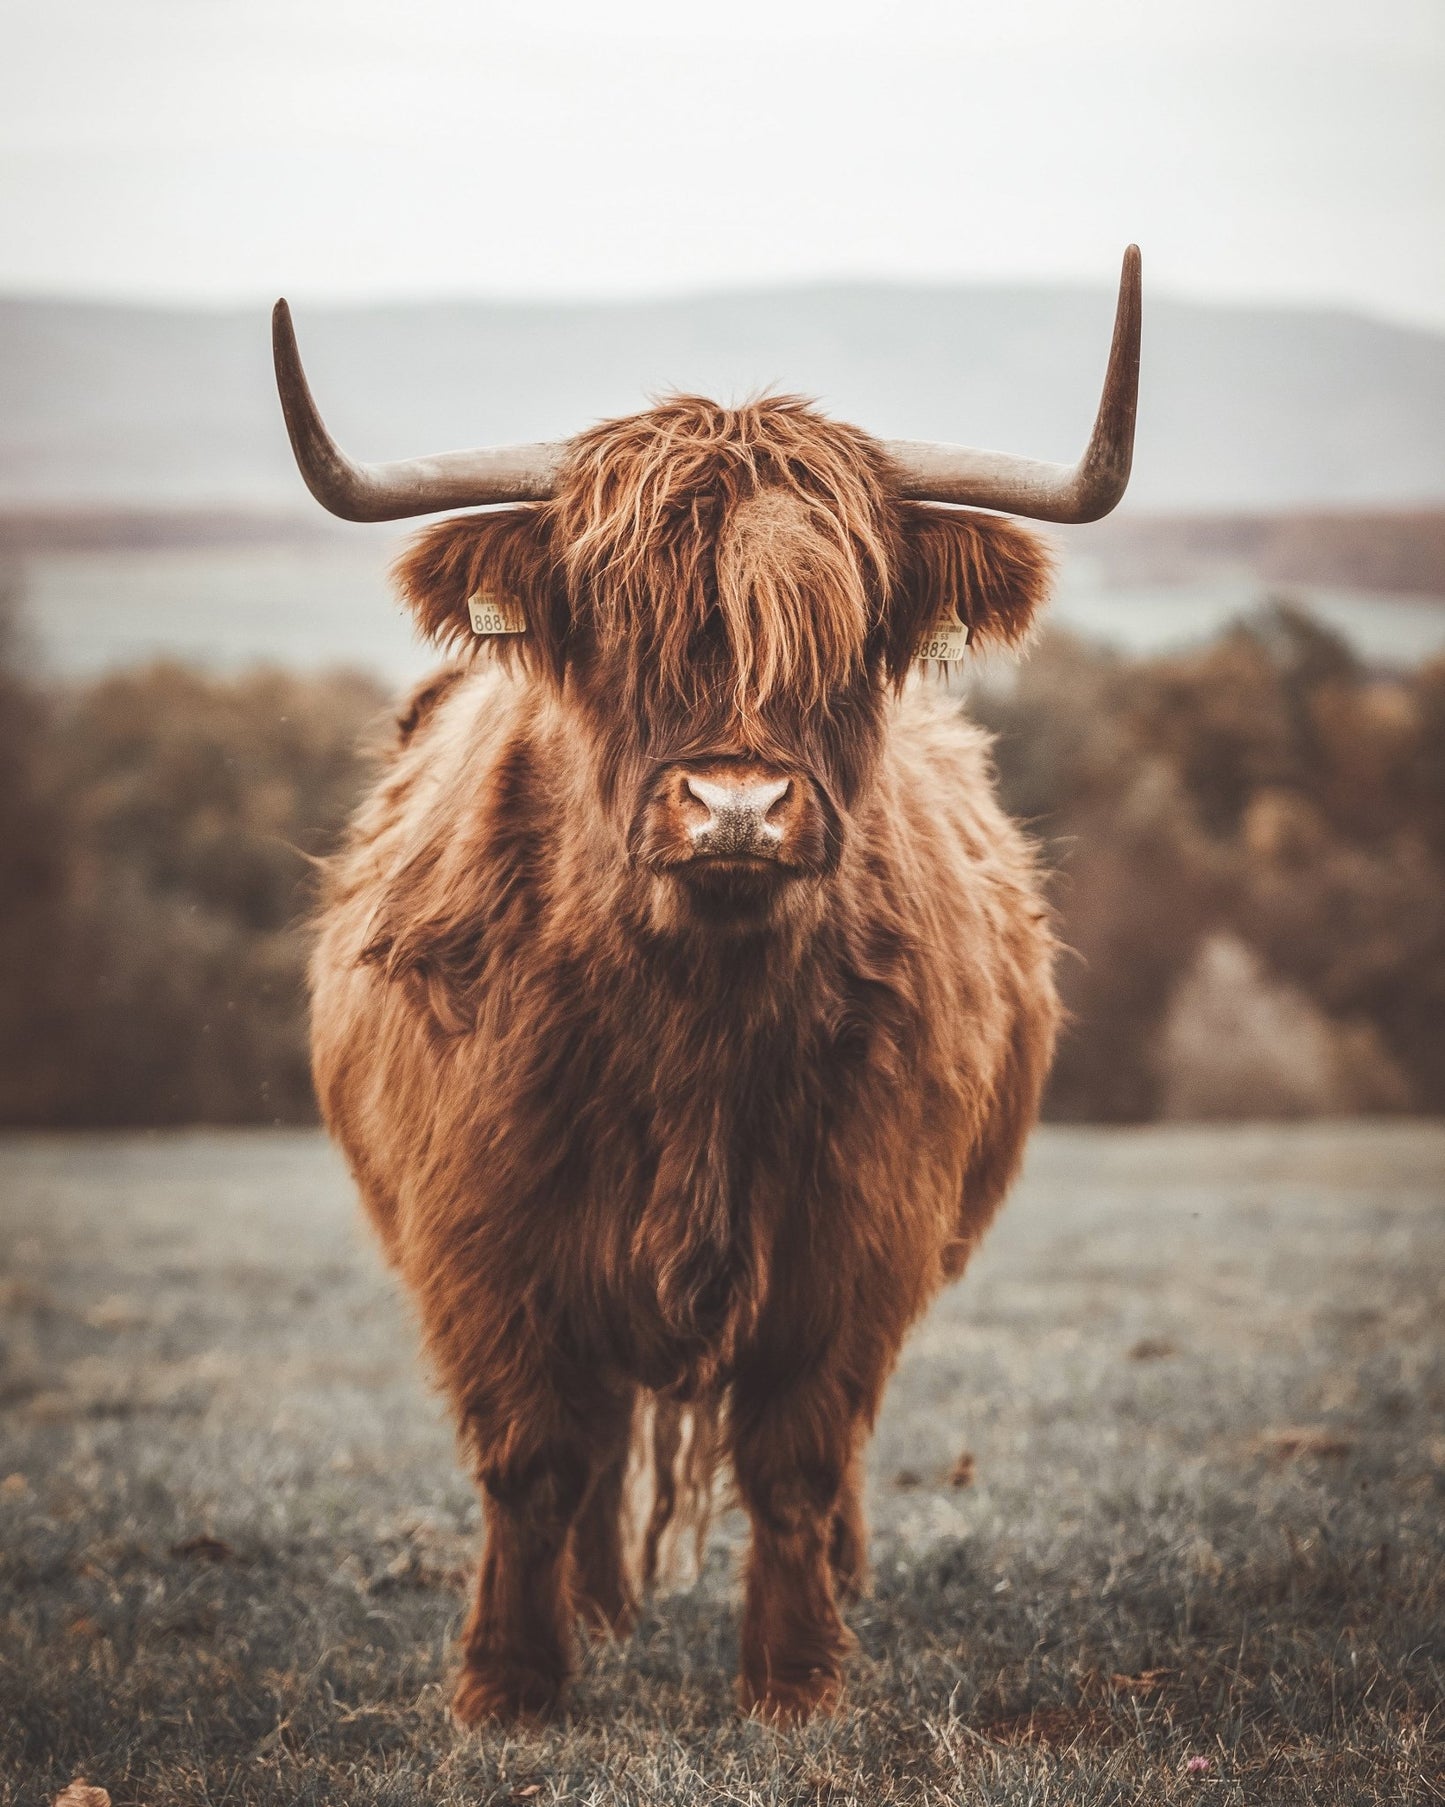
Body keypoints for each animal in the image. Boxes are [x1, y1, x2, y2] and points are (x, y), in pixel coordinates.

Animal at [273, 248, 1140, 1726]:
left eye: (844, 631)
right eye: (613, 627)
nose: (736, 802)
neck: (694, 1019)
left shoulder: (858, 1233)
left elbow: (797, 1456)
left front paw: (795, 1677)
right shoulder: (485, 1234)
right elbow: (533, 1458)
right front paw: (509, 1680)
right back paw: (596, 1611)